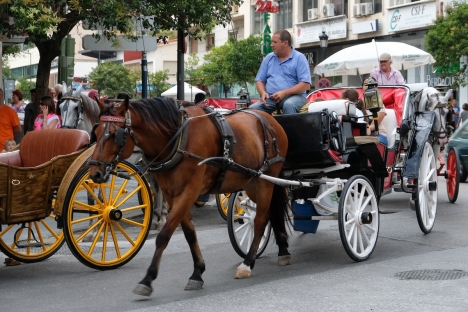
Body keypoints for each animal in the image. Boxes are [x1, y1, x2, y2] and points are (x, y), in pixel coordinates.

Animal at [88, 96, 288, 296]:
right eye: (96, 132)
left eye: (113, 134)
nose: (94, 173)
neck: (178, 140)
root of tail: (270, 120)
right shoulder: (172, 195)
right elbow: (190, 233)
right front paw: (197, 272)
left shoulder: (188, 193)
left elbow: (164, 235)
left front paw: (148, 279)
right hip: (252, 183)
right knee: (270, 214)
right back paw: (283, 250)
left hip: (266, 182)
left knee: (260, 220)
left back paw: (247, 263)